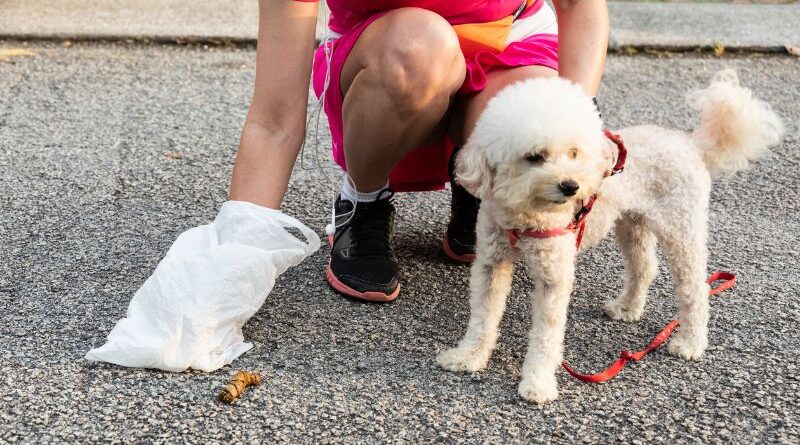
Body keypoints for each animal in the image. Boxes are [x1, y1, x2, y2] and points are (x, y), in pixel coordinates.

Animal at [438, 69, 780, 402]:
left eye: (573, 153)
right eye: (534, 156)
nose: (571, 186)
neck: (526, 215)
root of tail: (690, 143)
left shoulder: (554, 274)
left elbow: (547, 335)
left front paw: (538, 383)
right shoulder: (491, 262)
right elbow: (483, 316)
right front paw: (468, 356)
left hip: (680, 227)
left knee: (695, 288)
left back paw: (690, 342)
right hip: (632, 223)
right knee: (644, 267)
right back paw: (627, 309)